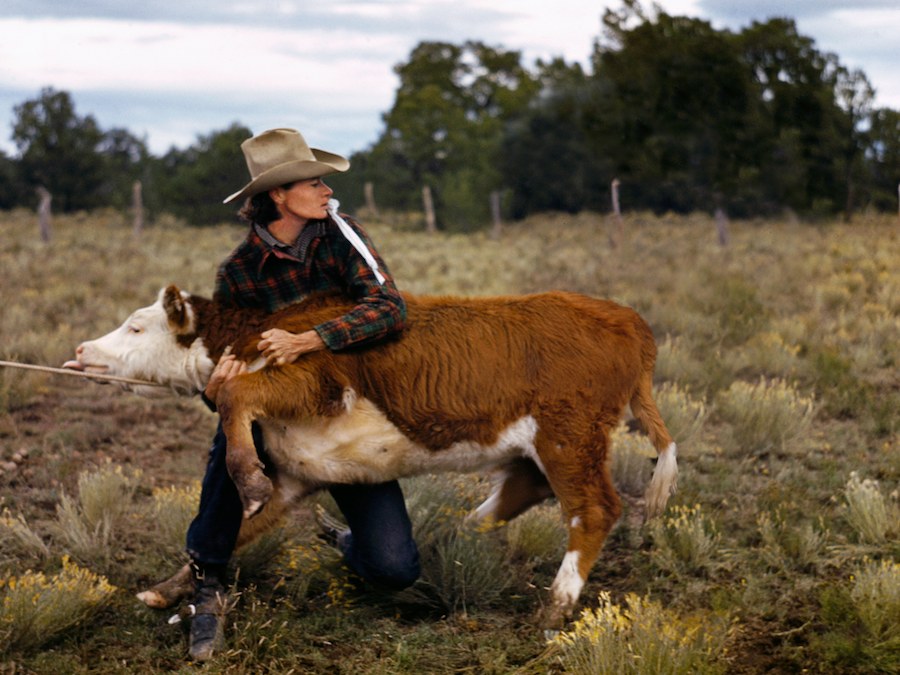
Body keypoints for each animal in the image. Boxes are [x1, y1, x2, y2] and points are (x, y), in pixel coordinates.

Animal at [64, 285, 678, 626]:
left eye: (136, 326)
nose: (81, 349)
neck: (256, 332)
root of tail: (630, 322)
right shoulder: (298, 470)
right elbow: (240, 528)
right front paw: (170, 588)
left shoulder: (313, 382)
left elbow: (235, 396)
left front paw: (248, 481)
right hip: (546, 444)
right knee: (525, 488)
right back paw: (450, 540)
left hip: (569, 436)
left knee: (593, 509)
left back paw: (555, 604)